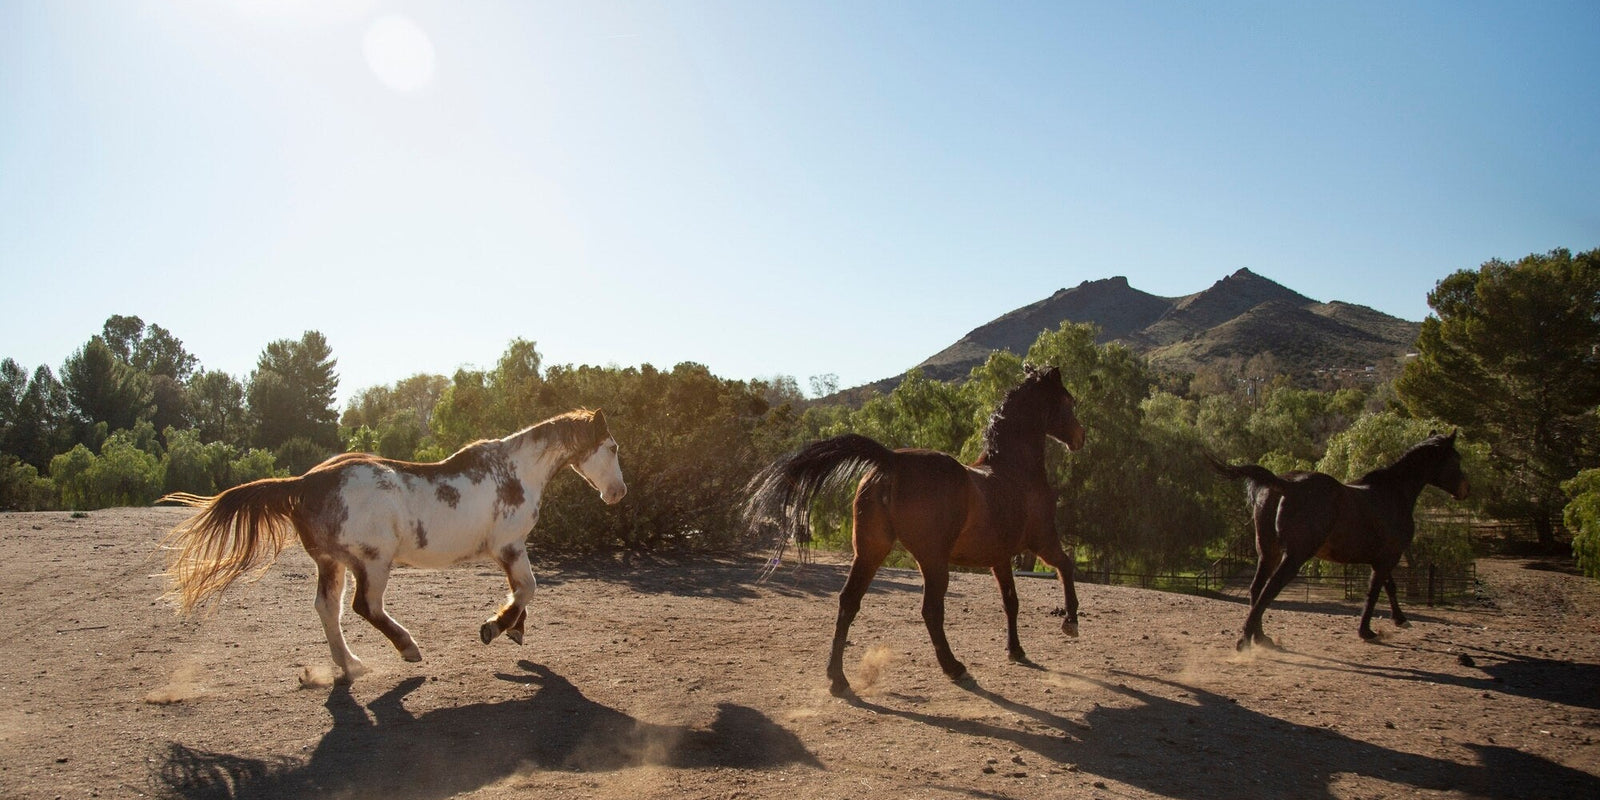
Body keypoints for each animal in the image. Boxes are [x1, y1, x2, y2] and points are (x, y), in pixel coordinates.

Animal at [160, 412, 624, 681]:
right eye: (613, 447)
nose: (617, 492)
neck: (512, 470)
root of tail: (305, 482)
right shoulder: (509, 545)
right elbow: (527, 588)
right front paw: (496, 627)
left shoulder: (509, 549)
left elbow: (522, 591)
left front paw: (513, 629)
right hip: (373, 562)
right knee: (365, 607)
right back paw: (408, 649)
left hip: (332, 562)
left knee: (328, 608)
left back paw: (352, 665)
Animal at [748, 363, 1088, 694]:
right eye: (1068, 401)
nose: (1080, 438)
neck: (1014, 472)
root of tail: (892, 460)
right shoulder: (1043, 542)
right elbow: (1066, 567)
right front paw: (1070, 623)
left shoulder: (1000, 558)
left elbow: (1011, 602)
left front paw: (1016, 650)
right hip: (933, 560)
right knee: (931, 611)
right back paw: (955, 668)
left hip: (870, 552)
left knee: (848, 602)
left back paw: (837, 679)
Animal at [1209, 432, 1465, 649]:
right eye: (1457, 460)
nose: (1466, 490)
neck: (1393, 494)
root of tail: (1286, 484)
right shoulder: (1389, 557)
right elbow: (1375, 591)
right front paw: (1368, 631)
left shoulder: (1381, 558)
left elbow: (1388, 587)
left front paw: (1399, 620)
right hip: (1294, 556)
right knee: (1268, 591)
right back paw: (1245, 641)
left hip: (1268, 552)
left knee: (1257, 590)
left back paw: (1261, 638)